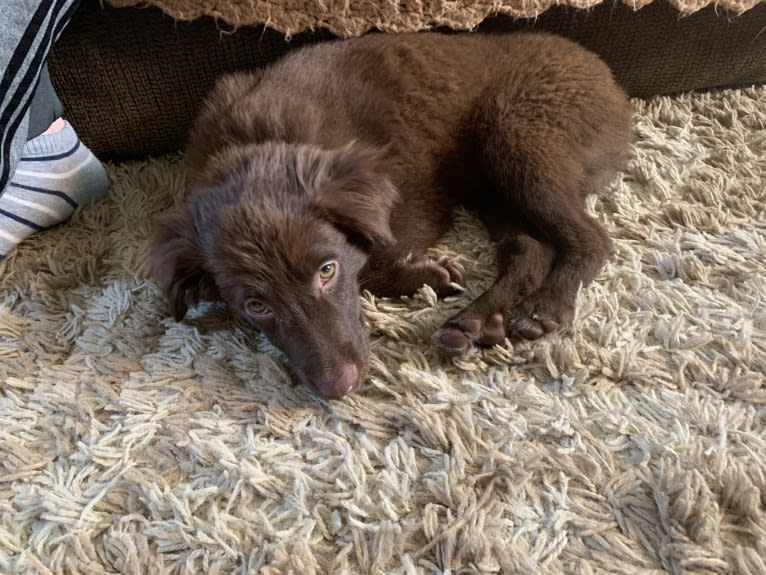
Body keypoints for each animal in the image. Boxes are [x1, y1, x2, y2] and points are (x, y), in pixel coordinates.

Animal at [153, 31, 632, 398]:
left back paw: (545, 307)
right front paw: (426, 276)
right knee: (529, 249)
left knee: (592, 238)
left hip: (517, 135)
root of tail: (613, 83)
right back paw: (477, 321)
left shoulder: (410, 211)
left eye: (327, 271)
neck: (260, 143)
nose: (339, 388)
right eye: (256, 305)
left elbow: (369, 261)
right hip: (492, 186)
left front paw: (424, 274)